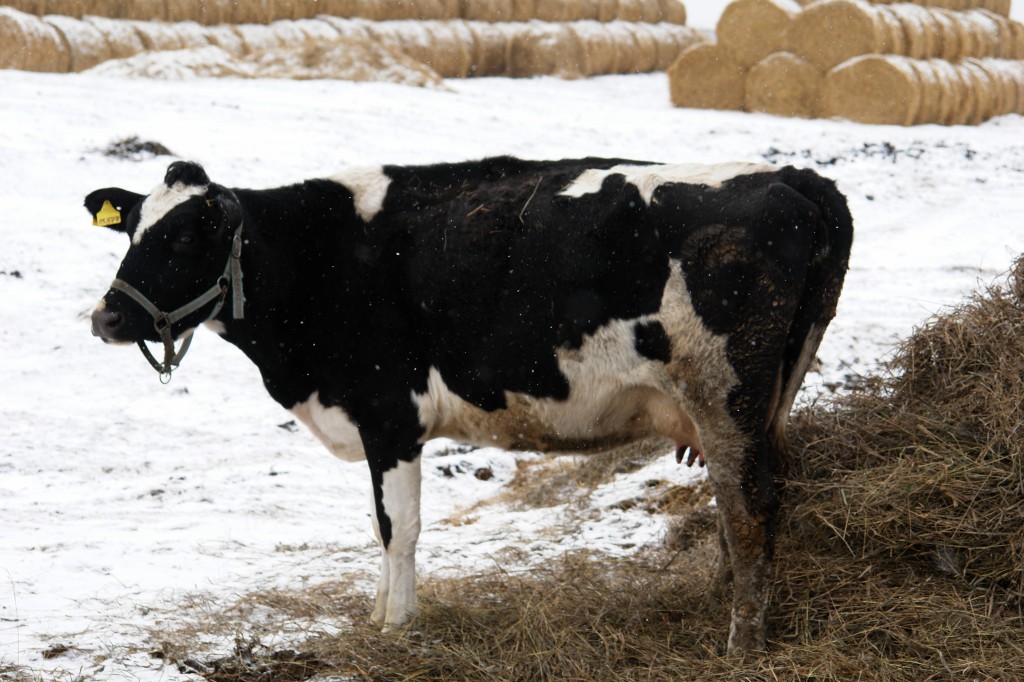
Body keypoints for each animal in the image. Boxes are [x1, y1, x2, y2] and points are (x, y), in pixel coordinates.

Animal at [88, 156, 851, 651]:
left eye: (186, 235)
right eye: (130, 230)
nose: (107, 318)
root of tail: (792, 178)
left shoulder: (388, 415)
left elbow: (398, 528)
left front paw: (396, 626)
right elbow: (378, 527)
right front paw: (377, 615)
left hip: (725, 391)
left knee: (749, 504)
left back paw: (743, 642)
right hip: (768, 399)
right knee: (749, 497)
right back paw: (725, 603)